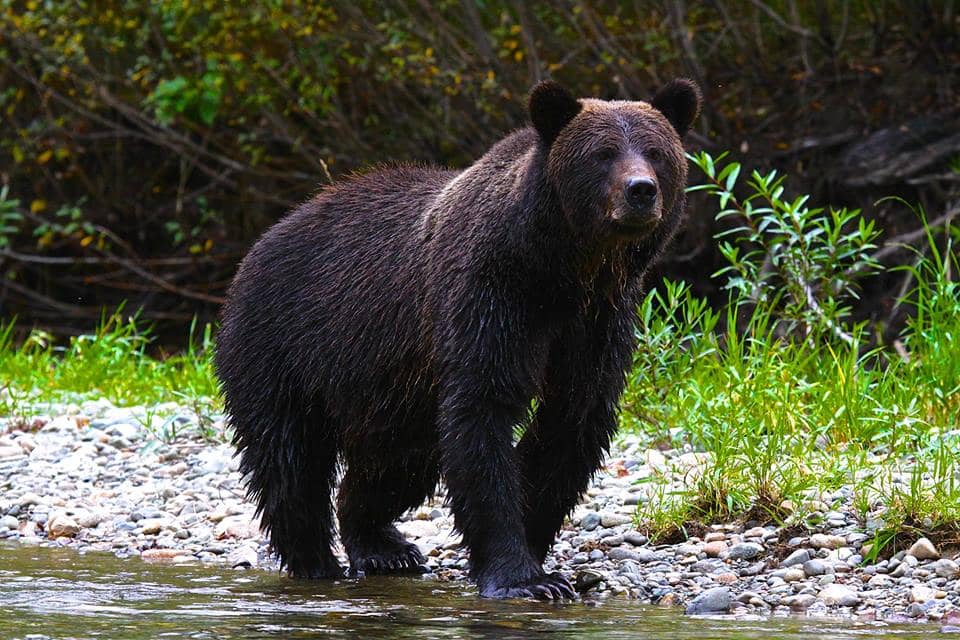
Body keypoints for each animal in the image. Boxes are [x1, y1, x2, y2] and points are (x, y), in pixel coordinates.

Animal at [216, 79, 696, 600]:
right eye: (602, 154)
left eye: (656, 152)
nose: (641, 190)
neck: (564, 270)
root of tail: (262, 241)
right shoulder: (489, 297)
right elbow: (483, 411)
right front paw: (524, 577)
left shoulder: (596, 322)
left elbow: (572, 418)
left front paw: (534, 549)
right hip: (284, 344)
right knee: (290, 459)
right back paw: (315, 560)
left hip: (392, 386)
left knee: (398, 463)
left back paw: (382, 546)